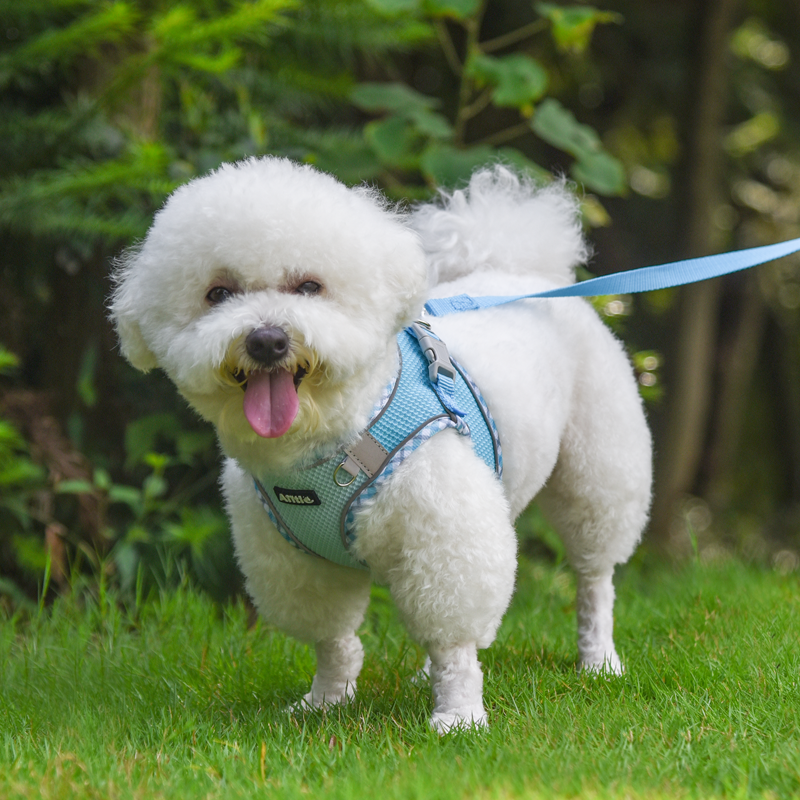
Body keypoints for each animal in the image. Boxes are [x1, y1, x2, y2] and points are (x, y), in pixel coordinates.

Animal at [111, 158, 648, 732]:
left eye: (310, 286)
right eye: (217, 294)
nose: (267, 340)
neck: (331, 438)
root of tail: (517, 272)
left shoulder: (445, 536)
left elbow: (455, 643)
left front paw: (458, 716)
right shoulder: (294, 559)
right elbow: (334, 640)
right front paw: (326, 699)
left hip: (596, 474)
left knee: (594, 579)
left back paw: (599, 660)